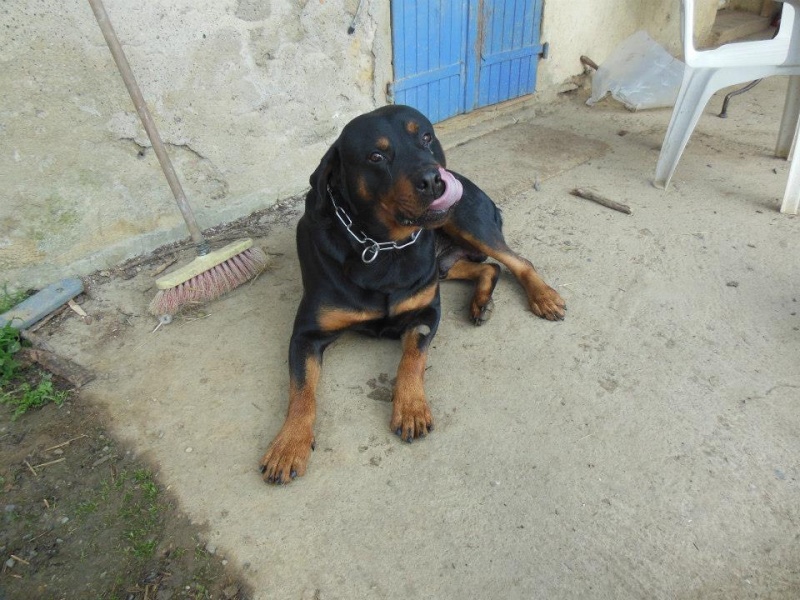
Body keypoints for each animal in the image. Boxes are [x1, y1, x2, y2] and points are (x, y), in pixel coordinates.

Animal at [260, 105, 564, 486]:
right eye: (376, 156)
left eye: (426, 137)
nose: (435, 180)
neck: (382, 246)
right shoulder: (306, 334)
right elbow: (301, 391)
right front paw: (289, 444)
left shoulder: (426, 311)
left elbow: (412, 359)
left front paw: (411, 407)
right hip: (444, 262)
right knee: (488, 268)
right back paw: (482, 302)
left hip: (467, 223)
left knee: (517, 260)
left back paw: (543, 296)